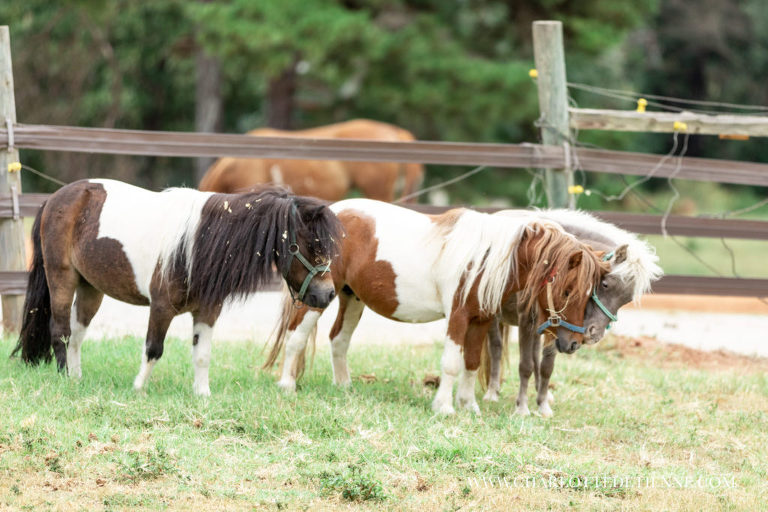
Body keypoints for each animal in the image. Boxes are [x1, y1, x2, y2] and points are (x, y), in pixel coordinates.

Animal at [11, 179, 342, 396]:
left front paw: (202, 395)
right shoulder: (161, 308)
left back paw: (77, 378)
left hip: (91, 287)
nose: (327, 294)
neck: (198, 243)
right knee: (61, 332)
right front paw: (138, 389)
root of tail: (56, 198)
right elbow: (153, 349)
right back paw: (65, 378)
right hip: (62, 278)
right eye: (309, 246)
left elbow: (202, 354)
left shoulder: (208, 311)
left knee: (78, 335)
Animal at [263, 199, 610, 415]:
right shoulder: (458, 316)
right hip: (319, 297)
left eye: (591, 292)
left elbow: (471, 363)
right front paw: (444, 407)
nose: (574, 342)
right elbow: (452, 363)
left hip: (352, 297)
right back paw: (286, 385)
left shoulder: (481, 320)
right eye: (567, 290)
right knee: (295, 337)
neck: (486, 256)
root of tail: (333, 212)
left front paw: (469, 406)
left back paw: (344, 387)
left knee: (339, 339)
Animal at [479, 209, 663, 416]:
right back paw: (492, 392)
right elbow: (525, 365)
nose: (594, 335)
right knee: (496, 348)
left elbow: (546, 366)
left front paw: (543, 405)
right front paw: (522, 408)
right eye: (604, 284)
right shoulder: (527, 320)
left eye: (627, 300)